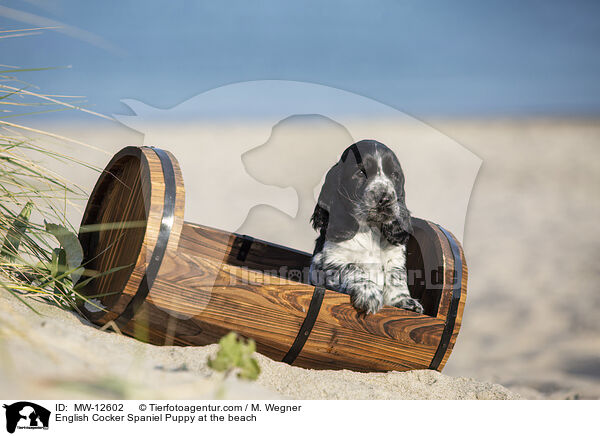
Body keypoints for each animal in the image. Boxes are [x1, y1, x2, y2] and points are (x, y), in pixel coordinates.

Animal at [310, 140, 422, 314]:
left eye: (395, 175)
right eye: (361, 172)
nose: (385, 199)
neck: (371, 228)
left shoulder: (395, 257)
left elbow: (397, 277)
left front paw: (404, 301)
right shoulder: (325, 260)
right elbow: (352, 268)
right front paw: (369, 293)